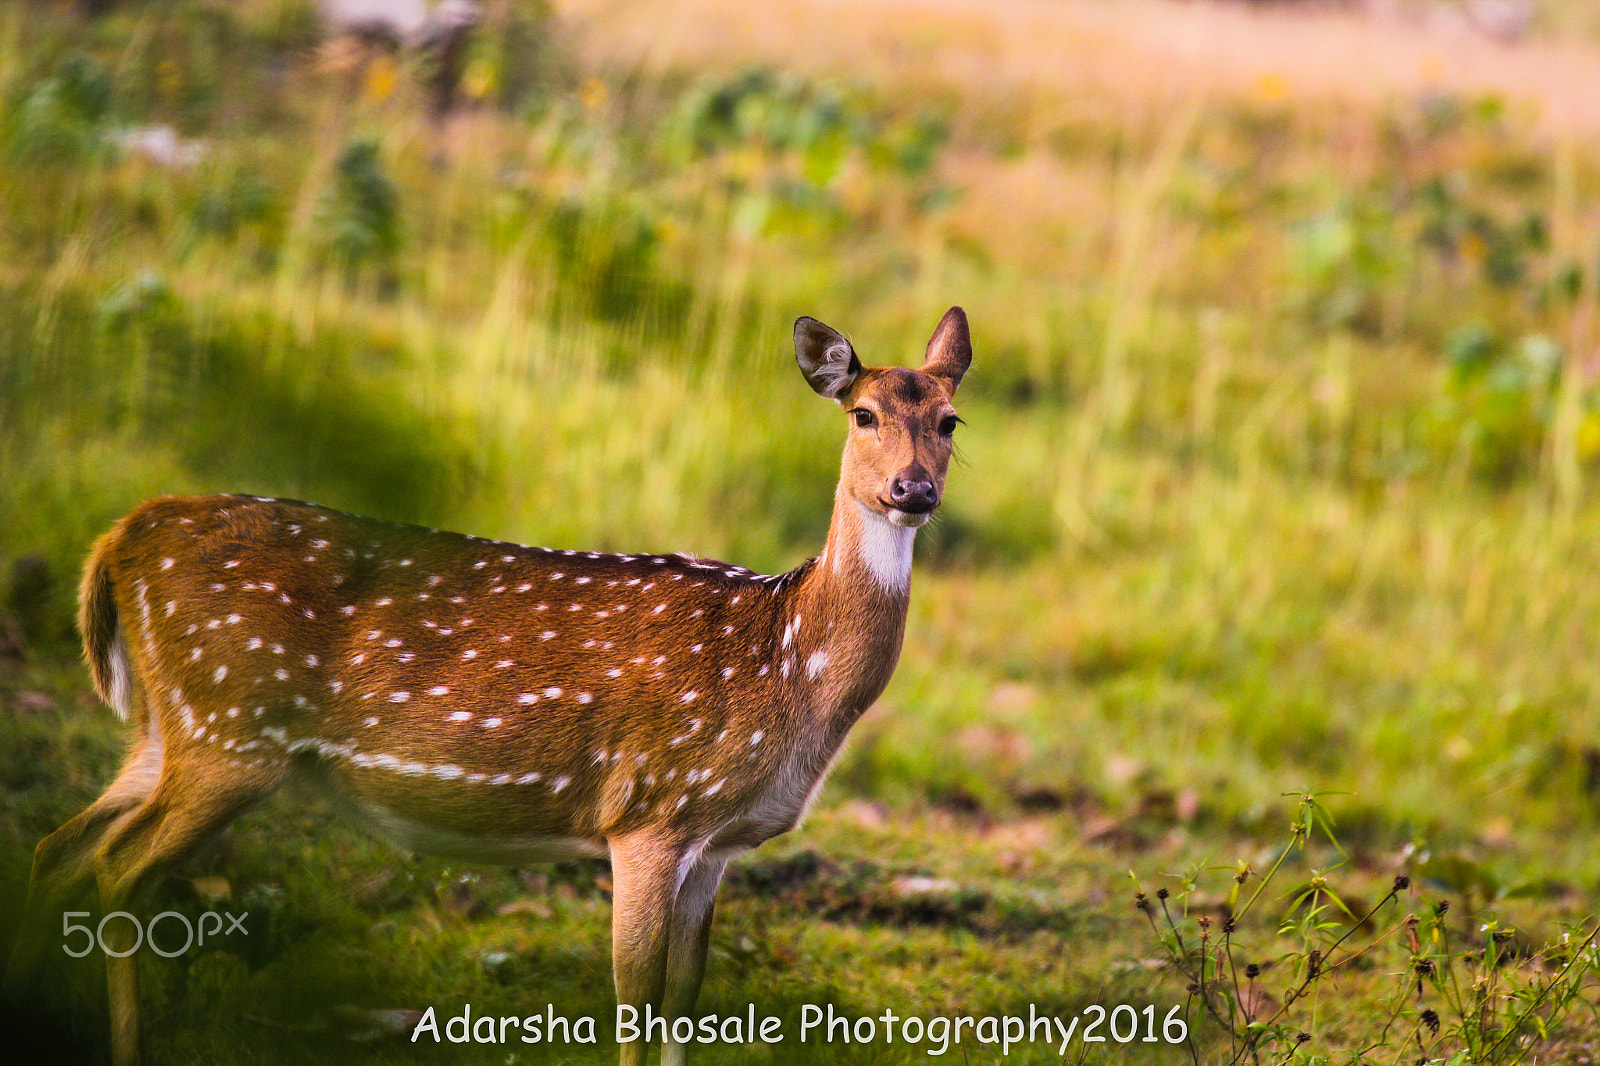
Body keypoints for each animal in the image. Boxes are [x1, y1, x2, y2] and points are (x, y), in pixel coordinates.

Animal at [2, 307, 972, 1066]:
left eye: (951, 421)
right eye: (862, 413)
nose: (912, 489)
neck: (785, 662)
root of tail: (120, 538)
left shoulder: (719, 844)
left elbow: (684, 1002)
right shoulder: (649, 811)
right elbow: (633, 997)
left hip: (168, 725)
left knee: (60, 846)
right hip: (230, 726)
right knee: (119, 868)